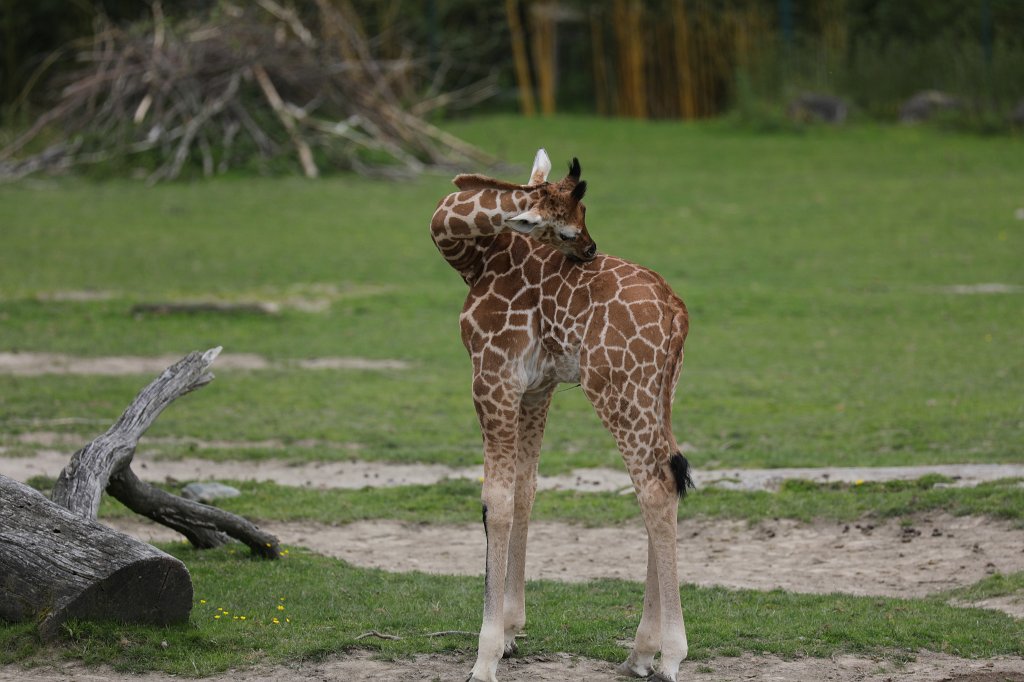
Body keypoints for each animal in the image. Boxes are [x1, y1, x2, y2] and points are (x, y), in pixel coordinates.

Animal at [430, 149, 693, 682]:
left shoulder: (492, 374)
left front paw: (485, 655)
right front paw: (511, 632)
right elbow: (526, 490)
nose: (591, 249)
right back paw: (640, 652)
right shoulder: (537, 387)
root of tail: (676, 313)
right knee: (666, 480)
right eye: (571, 228)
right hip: (659, 392)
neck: (474, 255)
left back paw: (669, 654)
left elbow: (496, 500)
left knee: (654, 488)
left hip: (618, 389)